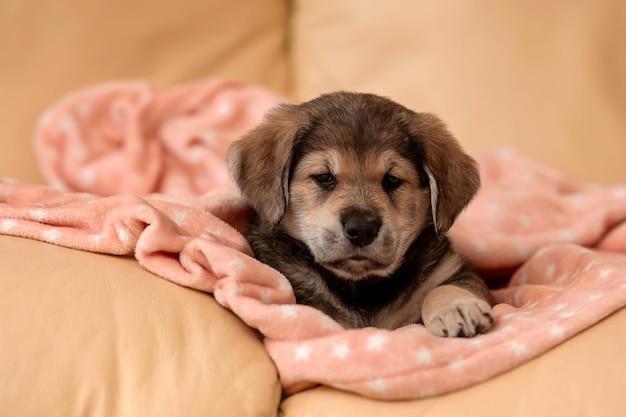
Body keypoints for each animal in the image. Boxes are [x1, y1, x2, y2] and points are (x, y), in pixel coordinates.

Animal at [224, 92, 492, 336]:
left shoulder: (452, 270)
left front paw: (458, 306)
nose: (362, 229)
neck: (361, 286)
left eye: (392, 180)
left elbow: (441, 288)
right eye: (324, 177)